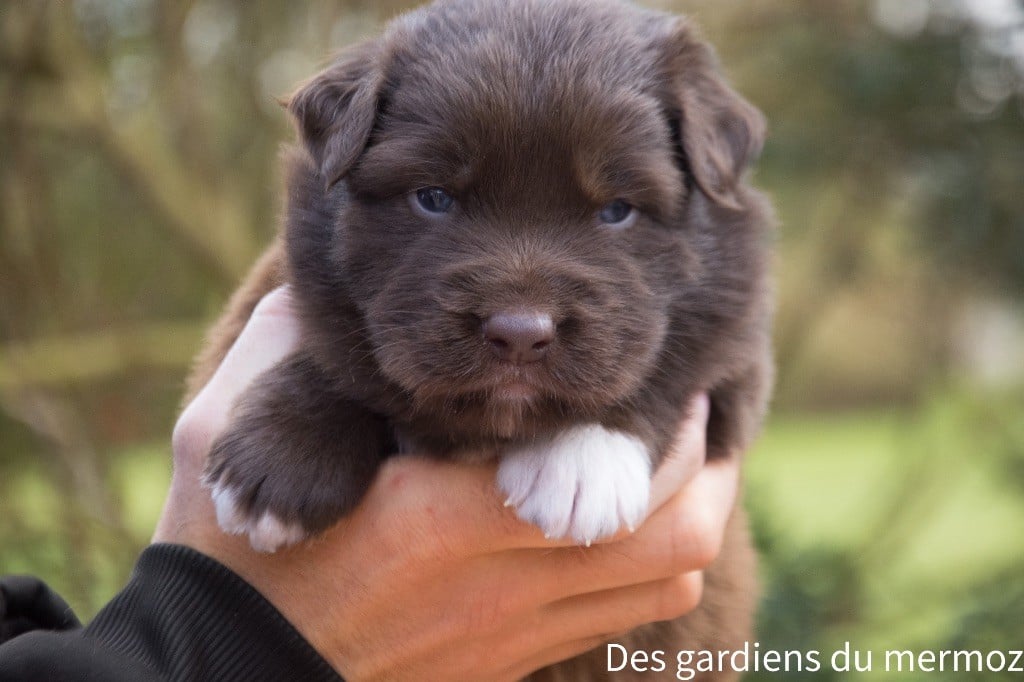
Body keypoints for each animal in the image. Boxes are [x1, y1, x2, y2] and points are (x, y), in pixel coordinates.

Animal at [188, 0, 770, 675]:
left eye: (617, 209)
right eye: (434, 197)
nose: (520, 335)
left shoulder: (737, 341)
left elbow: (666, 364)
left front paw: (581, 458)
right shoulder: (293, 276)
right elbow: (339, 349)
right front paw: (282, 459)